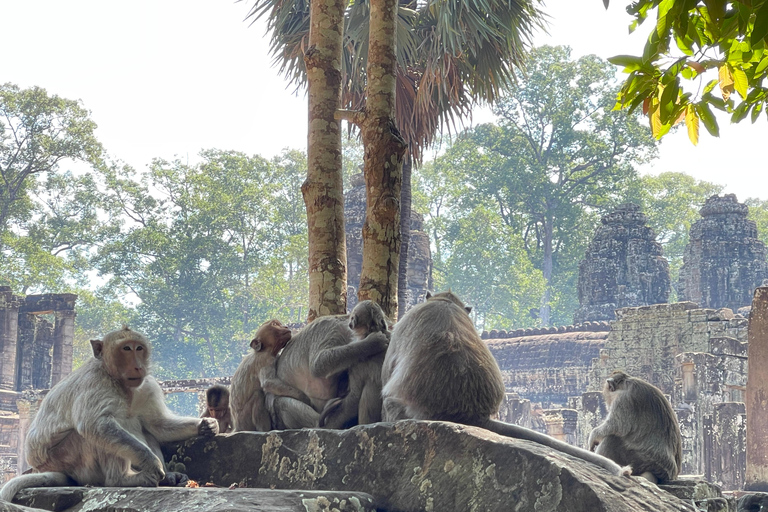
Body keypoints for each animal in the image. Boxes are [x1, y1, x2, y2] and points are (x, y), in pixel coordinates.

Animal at [0, 326, 219, 502]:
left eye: (139, 348)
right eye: (126, 348)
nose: (138, 365)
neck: (119, 383)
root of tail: (44, 468)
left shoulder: (147, 385)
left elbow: (157, 424)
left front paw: (205, 425)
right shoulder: (95, 383)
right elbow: (95, 425)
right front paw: (151, 462)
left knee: (139, 426)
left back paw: (167, 476)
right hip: (67, 461)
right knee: (94, 434)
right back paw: (123, 479)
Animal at [382, 292, 632, 480]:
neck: (446, 302)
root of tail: (470, 414)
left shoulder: (406, 322)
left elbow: (387, 371)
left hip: (413, 411)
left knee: (391, 403)